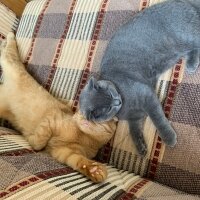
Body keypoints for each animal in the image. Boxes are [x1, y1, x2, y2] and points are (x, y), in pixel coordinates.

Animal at [0, 32, 117, 183]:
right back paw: (8, 37)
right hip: (12, 61)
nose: (85, 117)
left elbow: (79, 160)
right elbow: (41, 138)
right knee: (9, 51)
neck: (81, 136)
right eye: (83, 110)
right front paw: (34, 142)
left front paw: (94, 169)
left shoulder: (66, 152)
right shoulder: (51, 121)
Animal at [79, 0, 200, 155]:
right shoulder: (134, 118)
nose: (118, 101)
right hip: (181, 44)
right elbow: (133, 131)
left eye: (110, 95)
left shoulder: (146, 95)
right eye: (108, 109)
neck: (126, 106)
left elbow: (157, 119)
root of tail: (183, 2)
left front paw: (168, 137)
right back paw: (191, 64)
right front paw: (141, 148)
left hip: (185, 35)